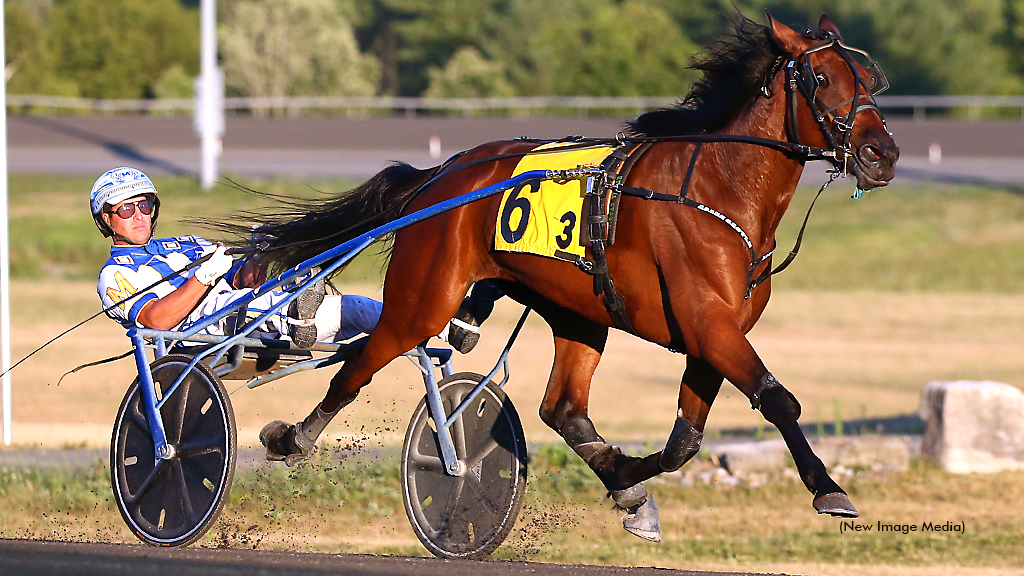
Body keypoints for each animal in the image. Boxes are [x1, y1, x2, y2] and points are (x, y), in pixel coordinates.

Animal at [247, 12, 897, 537]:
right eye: (821, 80)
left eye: (869, 83)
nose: (882, 154)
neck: (719, 190)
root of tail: (441, 175)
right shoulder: (708, 325)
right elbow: (777, 398)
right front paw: (828, 488)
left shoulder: (713, 336)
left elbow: (684, 442)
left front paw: (629, 482)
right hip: (423, 296)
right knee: (362, 361)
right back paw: (293, 437)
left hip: (578, 310)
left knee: (561, 408)